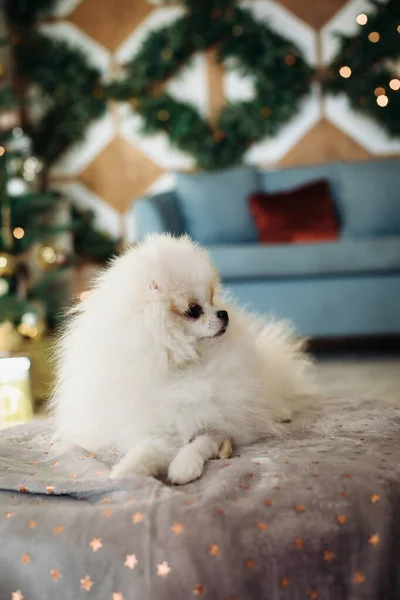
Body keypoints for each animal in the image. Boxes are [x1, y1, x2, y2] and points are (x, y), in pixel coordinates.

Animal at [52, 232, 316, 486]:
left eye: (212, 299)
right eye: (194, 310)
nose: (224, 313)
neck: (183, 367)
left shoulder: (218, 426)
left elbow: (200, 445)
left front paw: (183, 469)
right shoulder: (160, 428)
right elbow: (145, 451)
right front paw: (125, 472)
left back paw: (280, 411)